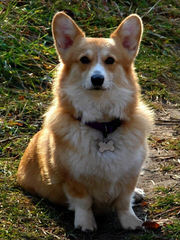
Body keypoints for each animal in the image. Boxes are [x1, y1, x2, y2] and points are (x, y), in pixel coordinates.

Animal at [17, 11, 153, 231]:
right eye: (84, 60)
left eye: (110, 60)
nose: (97, 79)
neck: (103, 125)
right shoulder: (73, 179)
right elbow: (83, 203)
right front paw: (85, 224)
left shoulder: (130, 174)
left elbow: (124, 202)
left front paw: (131, 222)